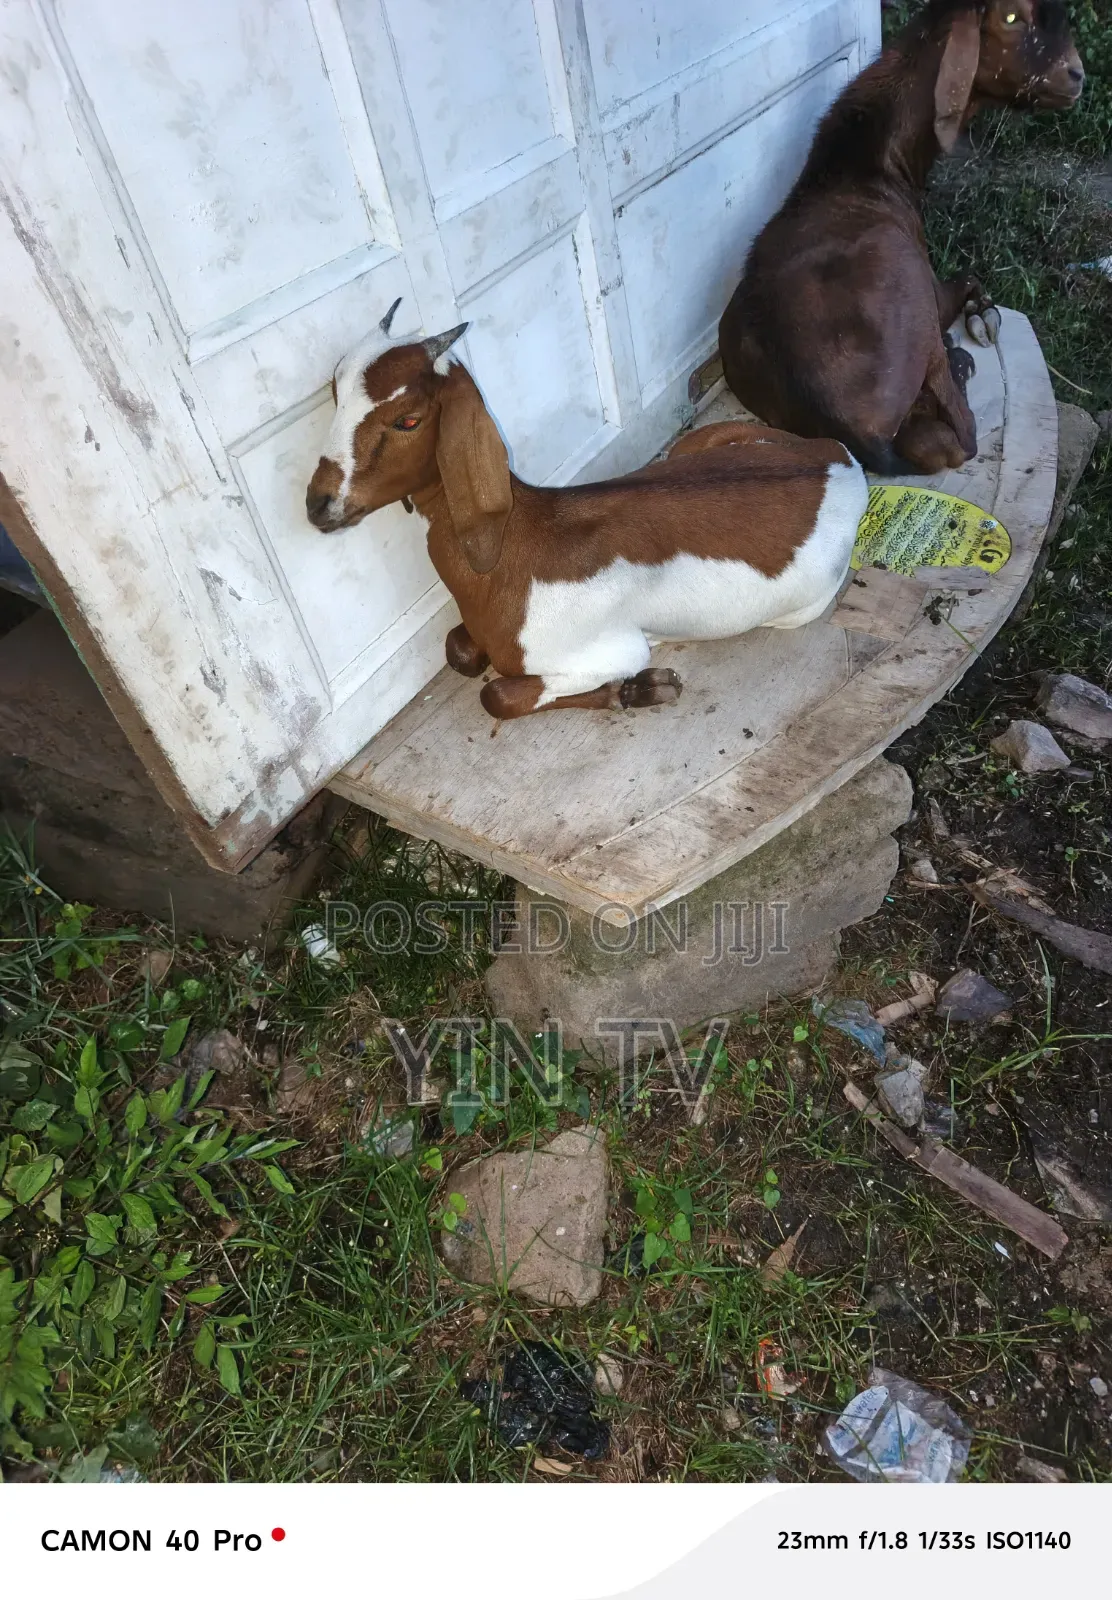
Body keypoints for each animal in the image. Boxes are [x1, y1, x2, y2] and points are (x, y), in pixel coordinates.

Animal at [306, 308, 867, 720]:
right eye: (335, 395)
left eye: (408, 419)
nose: (318, 504)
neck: (516, 549)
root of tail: (838, 461)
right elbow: (458, 650)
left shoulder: (608, 651)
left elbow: (496, 696)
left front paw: (639, 689)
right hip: (701, 443)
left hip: (799, 610)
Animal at [718, 0, 1084, 476]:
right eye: (1010, 17)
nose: (1077, 75)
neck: (866, 162)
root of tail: (860, 434)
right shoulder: (928, 277)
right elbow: (968, 277)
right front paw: (982, 314)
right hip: (912, 303)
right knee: (958, 438)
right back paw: (960, 361)